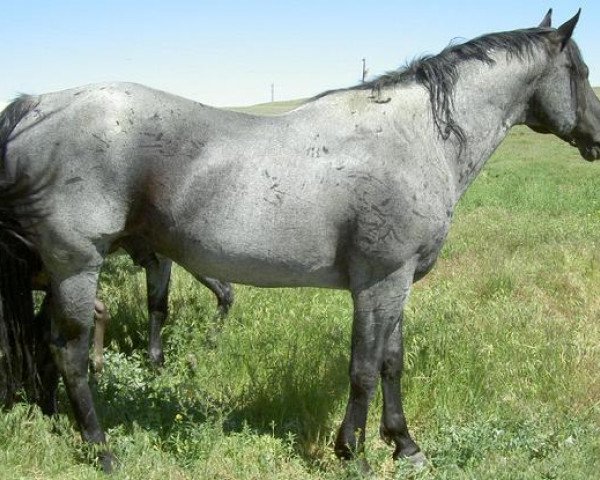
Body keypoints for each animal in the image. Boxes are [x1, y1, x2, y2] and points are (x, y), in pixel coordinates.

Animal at [1, 9, 600, 470]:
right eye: (581, 69)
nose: (596, 136)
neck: (414, 138)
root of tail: (38, 105)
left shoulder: (397, 282)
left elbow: (392, 362)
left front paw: (404, 445)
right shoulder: (380, 282)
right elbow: (363, 367)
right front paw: (353, 452)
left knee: (45, 344)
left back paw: (55, 418)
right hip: (77, 265)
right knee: (70, 352)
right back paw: (101, 449)